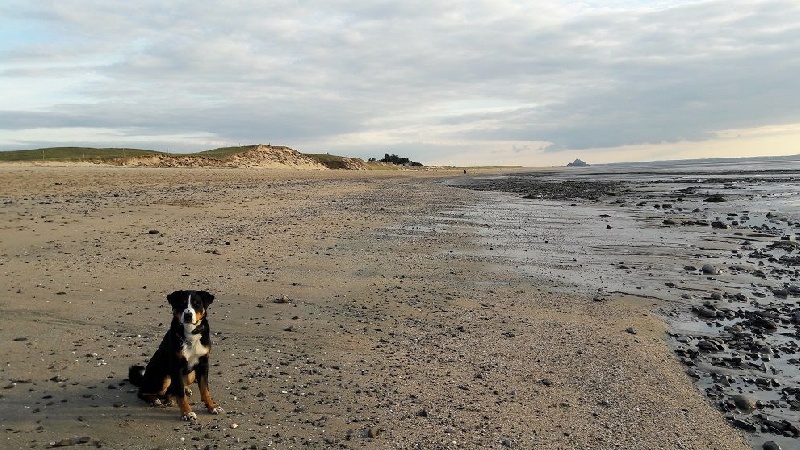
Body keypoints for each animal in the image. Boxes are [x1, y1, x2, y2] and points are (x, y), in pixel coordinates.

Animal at [128, 290, 223, 421]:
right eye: (182, 303)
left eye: (197, 304)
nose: (188, 315)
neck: (190, 334)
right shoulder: (176, 367)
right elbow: (181, 395)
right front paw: (187, 413)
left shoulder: (203, 364)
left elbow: (205, 390)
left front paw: (212, 406)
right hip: (164, 377)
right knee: (143, 392)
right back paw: (155, 400)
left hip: (191, 374)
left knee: (172, 391)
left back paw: (183, 391)